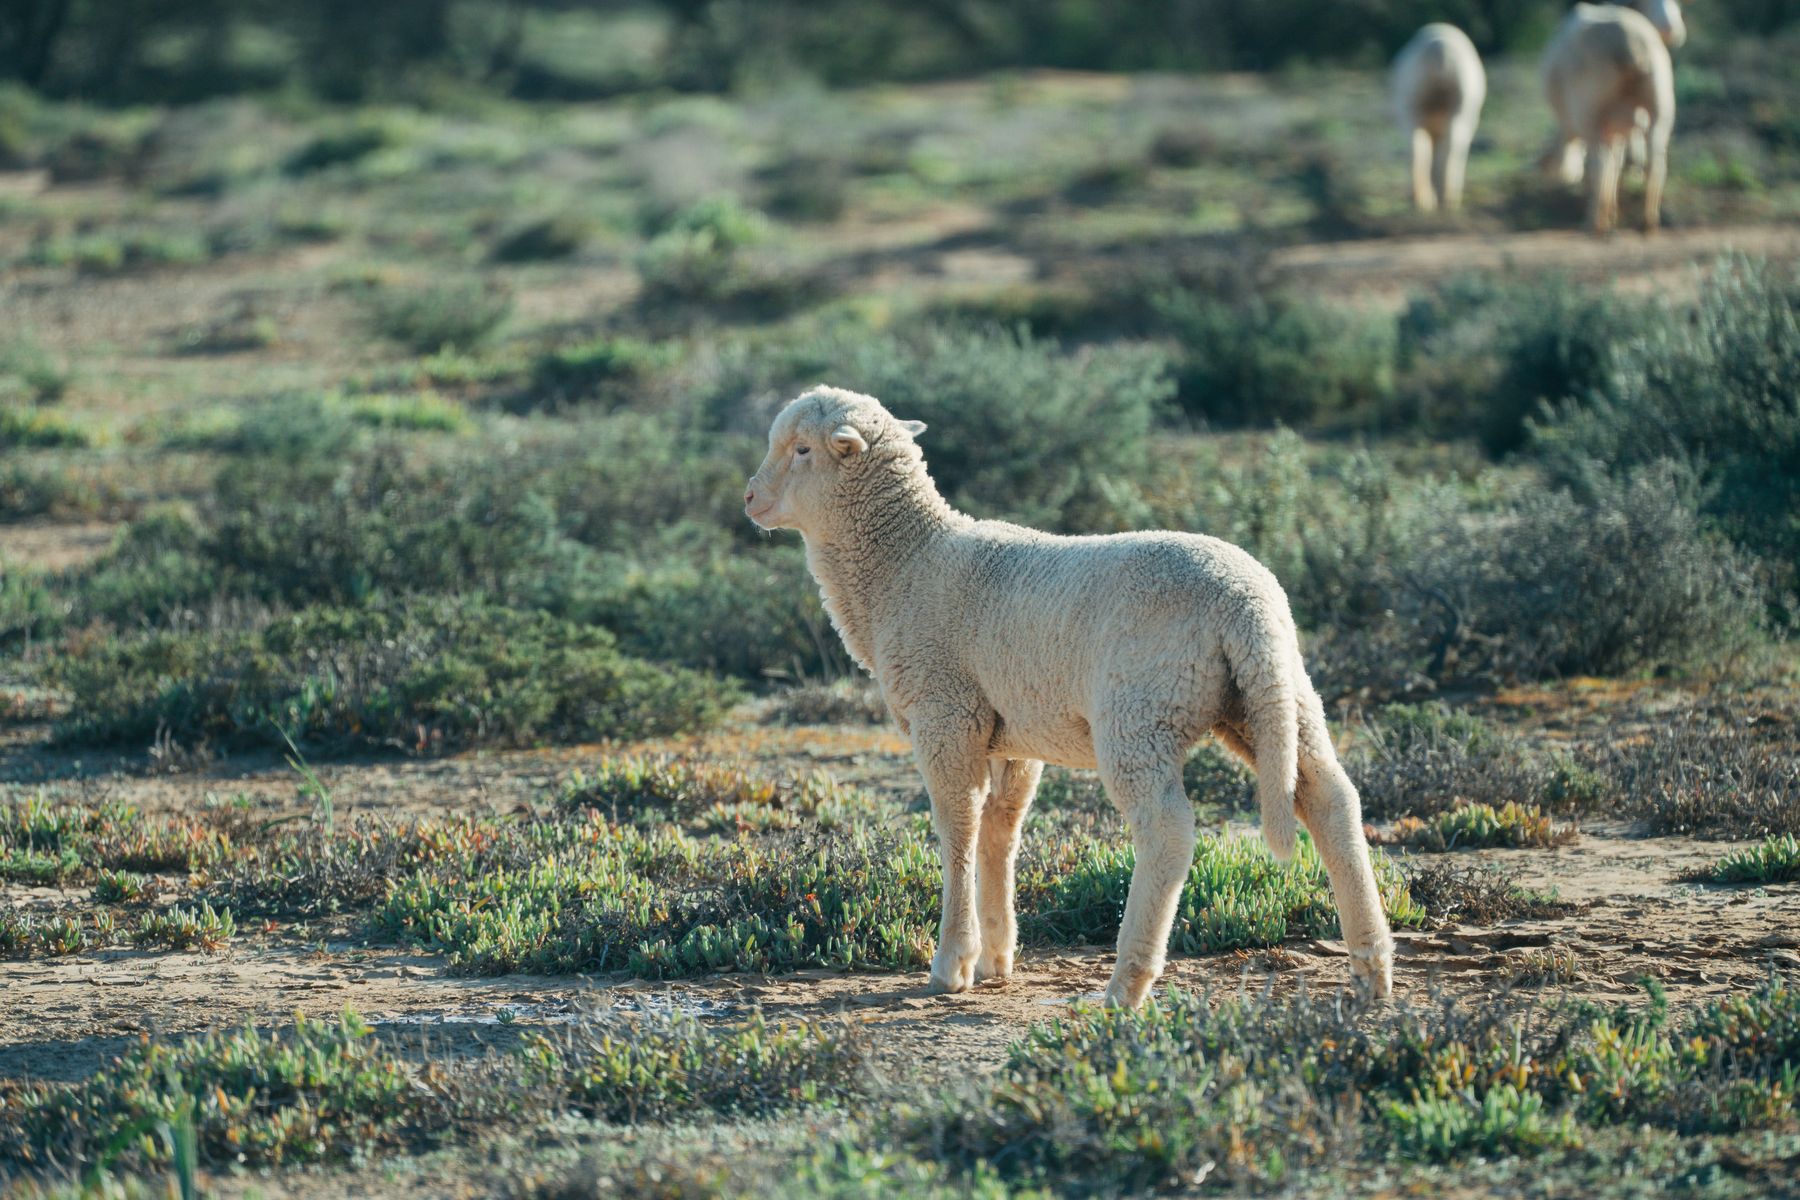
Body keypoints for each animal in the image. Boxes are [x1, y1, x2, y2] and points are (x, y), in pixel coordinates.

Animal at [744, 386, 1396, 1007]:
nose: (749, 499)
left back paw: (1127, 984)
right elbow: (1000, 830)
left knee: (1167, 831)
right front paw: (996, 956)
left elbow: (957, 828)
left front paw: (952, 963)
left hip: (1141, 712)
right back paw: (1371, 967)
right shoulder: (1012, 729)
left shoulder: (945, 713)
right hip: (1274, 693)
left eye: (801, 450)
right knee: (1331, 797)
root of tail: (1244, 601)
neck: (904, 565)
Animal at [1391, 23, 1486, 213]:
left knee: (1421, 147)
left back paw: (1426, 201)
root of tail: (1440, 50)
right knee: (1448, 146)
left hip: (1415, 102)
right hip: (1457, 103)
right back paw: (1445, 200)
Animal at [1540, 1, 1685, 233]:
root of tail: (1633, 42)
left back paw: (1593, 222)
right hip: (1660, 104)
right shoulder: (1618, 129)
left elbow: (1605, 167)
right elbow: (1616, 165)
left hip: (1590, 108)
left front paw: (1605, 212)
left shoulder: (1601, 127)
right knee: (1656, 163)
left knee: (1598, 165)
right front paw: (1612, 212)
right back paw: (1649, 220)